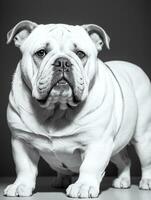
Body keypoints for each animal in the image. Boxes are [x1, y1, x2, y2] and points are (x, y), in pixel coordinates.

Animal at [3, 20, 151, 197]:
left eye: (80, 54)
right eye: (41, 53)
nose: (62, 62)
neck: (57, 109)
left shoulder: (97, 142)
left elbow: (90, 166)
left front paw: (83, 186)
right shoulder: (22, 140)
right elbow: (24, 167)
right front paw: (21, 185)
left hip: (143, 138)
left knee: (146, 161)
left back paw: (146, 182)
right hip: (115, 145)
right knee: (124, 160)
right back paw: (119, 180)